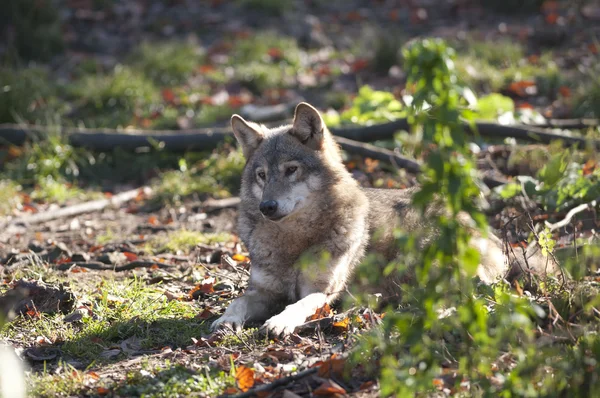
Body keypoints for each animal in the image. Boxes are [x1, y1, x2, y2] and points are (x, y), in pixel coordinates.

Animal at [210, 102, 556, 336]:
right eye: (261, 175)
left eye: (291, 170)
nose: (267, 207)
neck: (294, 241)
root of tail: (492, 235)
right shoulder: (263, 291)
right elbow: (237, 302)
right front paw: (225, 319)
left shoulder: (322, 292)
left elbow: (298, 305)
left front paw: (279, 321)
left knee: (473, 295)